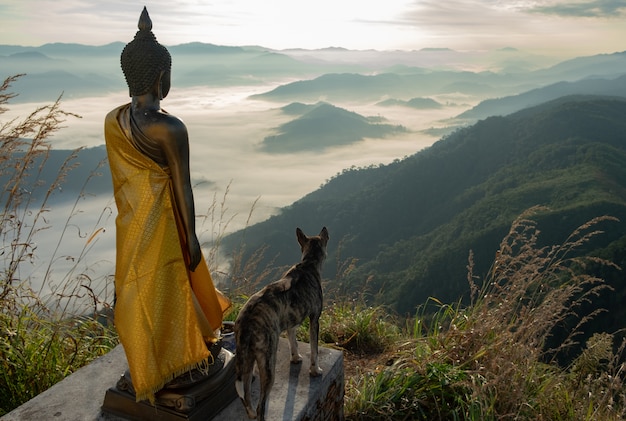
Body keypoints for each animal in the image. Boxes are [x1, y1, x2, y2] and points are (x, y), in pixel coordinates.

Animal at [234, 228, 330, 418]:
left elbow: (294, 342)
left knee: (247, 402)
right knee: (260, 406)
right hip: (268, 362)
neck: (309, 263)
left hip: (246, 362)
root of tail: (247, 319)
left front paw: (296, 358)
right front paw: (315, 371)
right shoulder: (314, 320)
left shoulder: (291, 323)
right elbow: (314, 350)